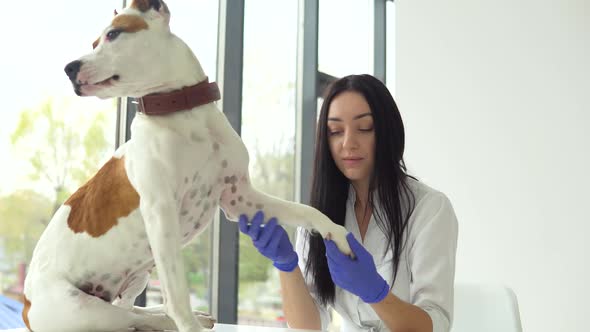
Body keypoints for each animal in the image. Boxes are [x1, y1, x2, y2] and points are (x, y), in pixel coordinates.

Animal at [23, 0, 354, 332]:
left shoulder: (240, 197)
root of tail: (26, 303)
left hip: (137, 278)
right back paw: (172, 320)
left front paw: (338, 236)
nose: (69, 68)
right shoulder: (161, 212)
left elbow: (306, 211)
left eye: (112, 35)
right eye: (95, 42)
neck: (182, 109)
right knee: (130, 317)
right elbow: (178, 292)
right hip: (85, 309)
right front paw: (186, 322)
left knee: (131, 309)